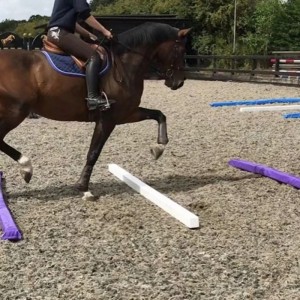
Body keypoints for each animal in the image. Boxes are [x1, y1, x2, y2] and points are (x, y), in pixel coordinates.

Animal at [0, 22, 191, 200]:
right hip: (15, 112)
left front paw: (159, 147)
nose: (179, 82)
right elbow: (93, 152)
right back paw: (26, 167)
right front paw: (84, 187)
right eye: (181, 50)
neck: (125, 64)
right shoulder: (108, 119)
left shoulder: (126, 113)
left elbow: (159, 114)